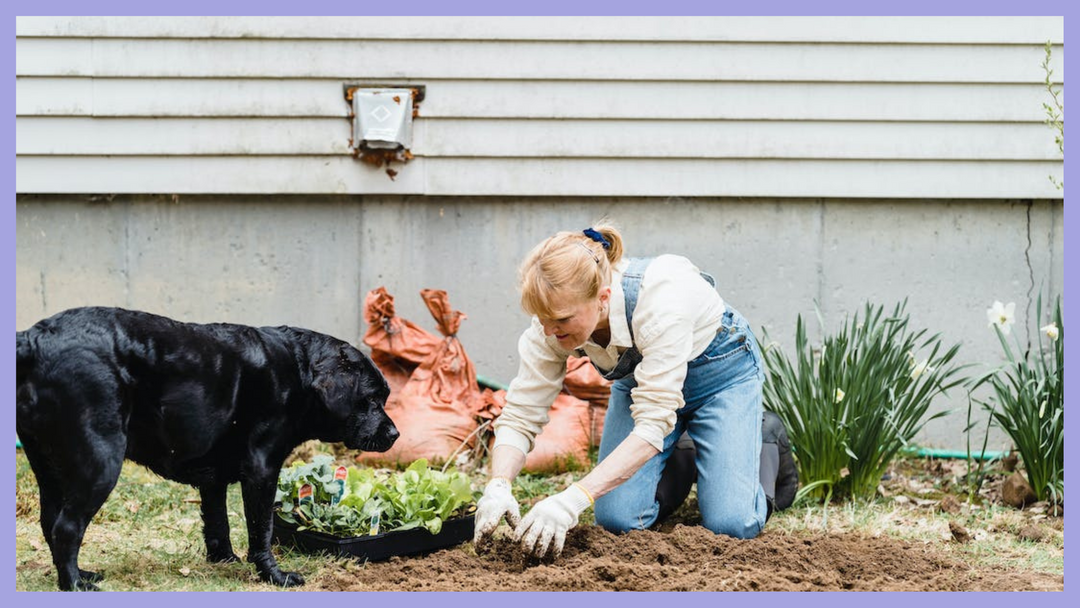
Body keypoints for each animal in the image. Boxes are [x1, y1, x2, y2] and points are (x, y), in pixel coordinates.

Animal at [14, 308, 397, 591]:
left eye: (385, 397)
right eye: (371, 399)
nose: (395, 433)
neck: (299, 371)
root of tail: (34, 338)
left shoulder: (214, 479)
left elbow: (218, 522)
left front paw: (224, 560)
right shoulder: (262, 468)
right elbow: (262, 528)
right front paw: (274, 576)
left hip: (49, 465)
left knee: (51, 521)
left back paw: (79, 574)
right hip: (100, 461)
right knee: (67, 527)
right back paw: (75, 585)